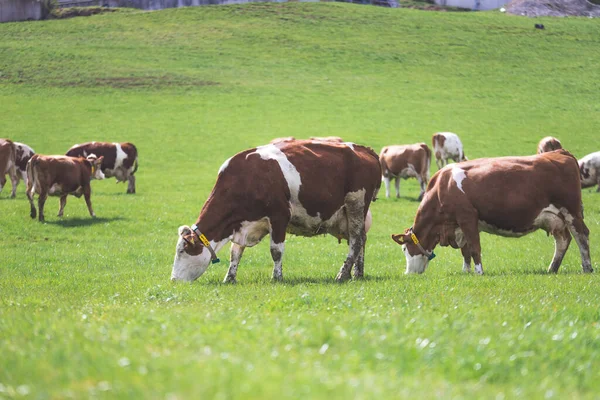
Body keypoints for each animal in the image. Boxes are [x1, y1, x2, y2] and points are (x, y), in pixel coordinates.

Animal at [171, 139, 382, 282]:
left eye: (182, 250)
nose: (173, 280)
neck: (245, 178)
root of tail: (364, 149)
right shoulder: (242, 224)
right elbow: (235, 252)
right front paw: (229, 278)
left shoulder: (279, 216)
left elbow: (276, 251)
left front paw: (277, 277)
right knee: (361, 239)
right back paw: (358, 273)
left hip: (356, 204)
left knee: (355, 241)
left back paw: (343, 274)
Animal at [392, 149, 592, 276]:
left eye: (404, 248)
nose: (407, 273)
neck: (443, 186)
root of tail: (559, 152)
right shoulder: (459, 226)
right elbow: (465, 251)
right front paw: (466, 272)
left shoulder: (467, 218)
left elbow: (475, 248)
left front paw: (479, 272)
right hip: (554, 218)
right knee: (563, 240)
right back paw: (552, 269)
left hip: (571, 211)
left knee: (581, 236)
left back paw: (587, 268)